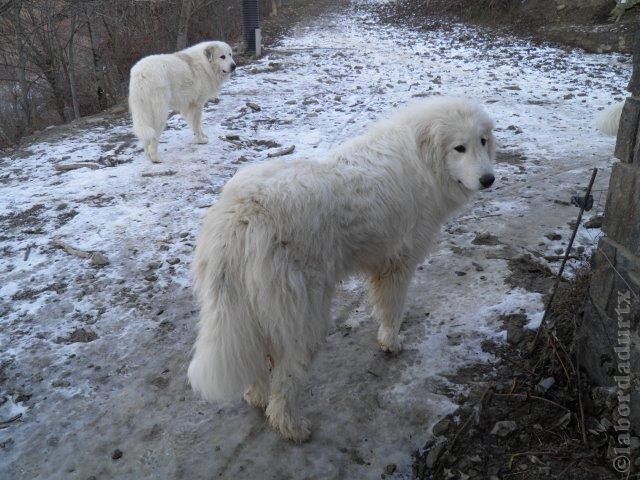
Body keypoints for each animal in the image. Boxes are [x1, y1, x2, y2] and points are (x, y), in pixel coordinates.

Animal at [188, 96, 498, 442]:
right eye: (459, 148)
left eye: (482, 141)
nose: (489, 179)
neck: (422, 161)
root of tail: (243, 213)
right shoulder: (398, 264)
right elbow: (392, 310)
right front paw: (391, 343)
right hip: (305, 313)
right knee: (286, 376)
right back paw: (292, 426)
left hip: (250, 309)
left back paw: (256, 396)